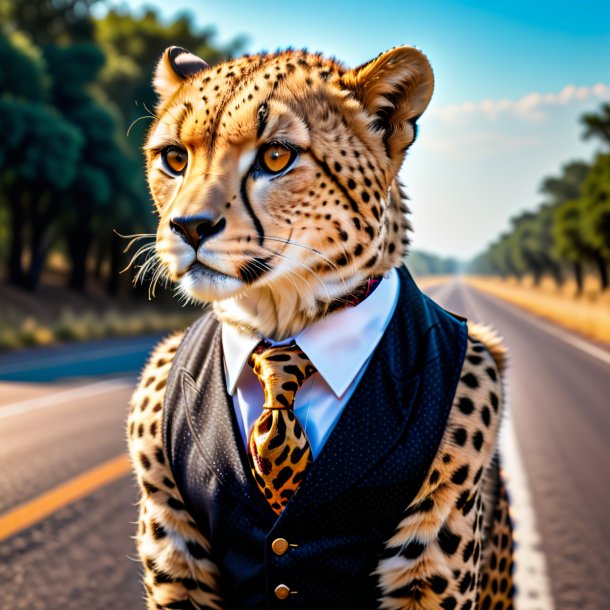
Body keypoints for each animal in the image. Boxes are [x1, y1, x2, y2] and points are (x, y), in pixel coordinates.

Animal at [127, 45, 512, 604]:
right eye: (174, 159)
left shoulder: (432, 553)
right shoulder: (174, 544)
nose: (190, 227)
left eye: (276, 157)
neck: (280, 325)